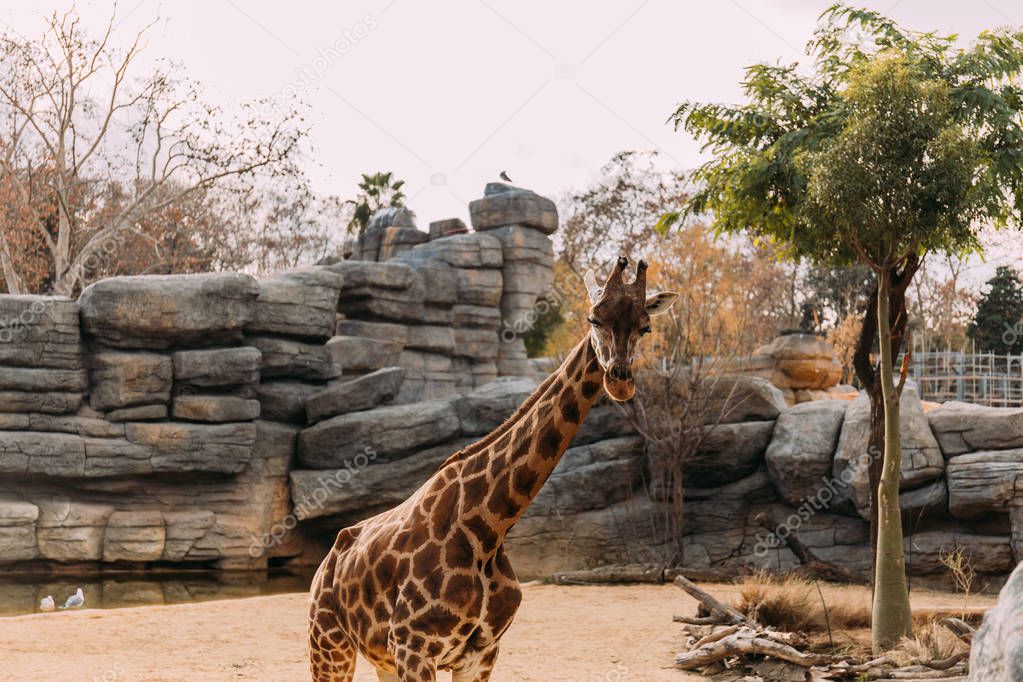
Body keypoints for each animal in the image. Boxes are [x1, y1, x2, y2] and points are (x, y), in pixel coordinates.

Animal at [310, 257, 679, 682]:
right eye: (594, 318)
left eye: (645, 326)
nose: (620, 381)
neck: (488, 529)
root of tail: (327, 563)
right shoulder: (413, 648)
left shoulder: (481, 653)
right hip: (329, 643)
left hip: (377, 657)